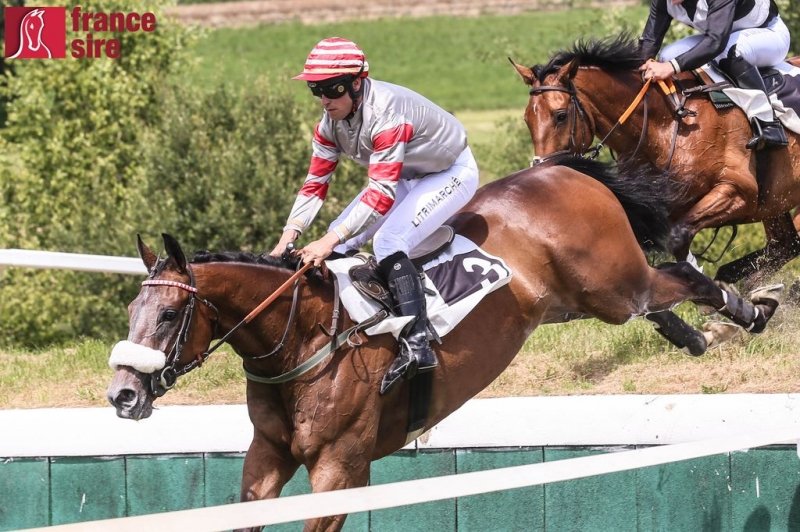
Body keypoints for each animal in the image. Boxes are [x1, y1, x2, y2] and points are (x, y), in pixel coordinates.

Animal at [107, 156, 778, 531]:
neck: (303, 339)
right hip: (577, 302)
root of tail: (559, 168)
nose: (122, 394)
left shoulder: (340, 468)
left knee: (682, 276)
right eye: (133, 310)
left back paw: (749, 311)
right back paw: (695, 334)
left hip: (610, 285)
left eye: (169, 314)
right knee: (662, 297)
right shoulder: (266, 458)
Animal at [510, 34, 800, 287]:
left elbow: (677, 237)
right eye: (527, 119)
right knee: (785, 245)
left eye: (560, 115)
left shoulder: (738, 192)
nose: (545, 172)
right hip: (774, 203)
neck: (668, 124)